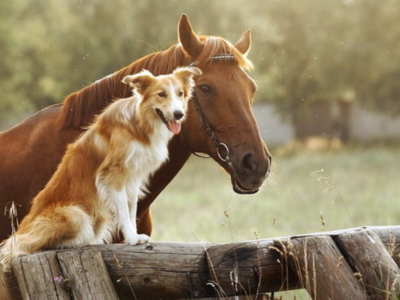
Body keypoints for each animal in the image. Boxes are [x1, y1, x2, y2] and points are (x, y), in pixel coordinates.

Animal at [0, 65, 200, 298]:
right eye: (161, 94)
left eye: (181, 94)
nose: (179, 114)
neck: (140, 123)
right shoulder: (113, 174)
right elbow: (123, 209)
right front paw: (131, 238)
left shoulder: (133, 178)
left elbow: (131, 209)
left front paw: (133, 236)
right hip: (75, 215)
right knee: (16, 247)